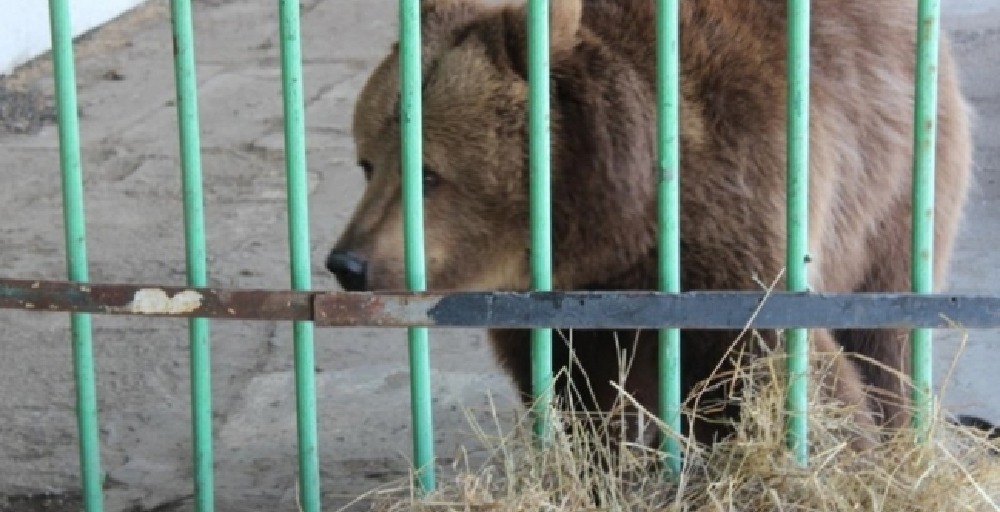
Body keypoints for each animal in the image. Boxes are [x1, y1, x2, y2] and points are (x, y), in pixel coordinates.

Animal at [326, 0, 976, 448]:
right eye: (368, 163)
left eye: (429, 173)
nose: (347, 263)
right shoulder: (567, 305)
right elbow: (583, 393)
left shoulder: (732, 218)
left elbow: (774, 358)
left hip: (895, 181)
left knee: (882, 329)